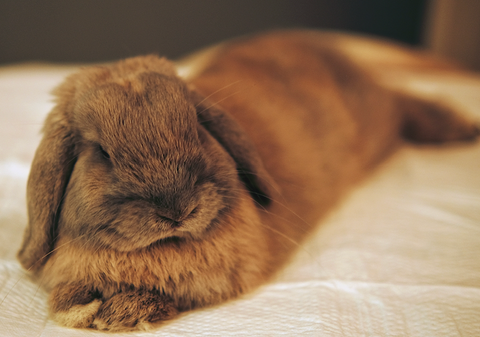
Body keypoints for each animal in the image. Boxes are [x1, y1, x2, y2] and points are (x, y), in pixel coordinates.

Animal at [16, 30, 478, 330]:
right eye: (101, 153)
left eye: (196, 129)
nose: (177, 211)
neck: (165, 244)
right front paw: (79, 305)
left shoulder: (217, 279)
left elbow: (170, 295)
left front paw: (117, 312)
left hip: (377, 115)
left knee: (404, 103)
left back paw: (459, 128)